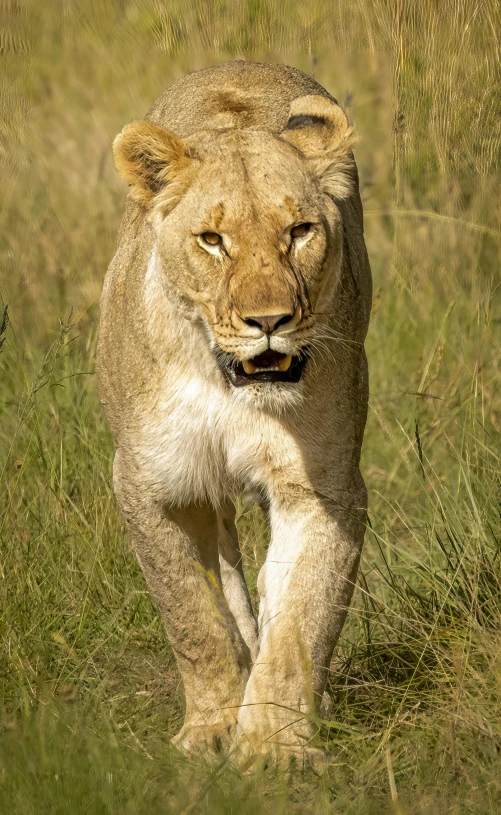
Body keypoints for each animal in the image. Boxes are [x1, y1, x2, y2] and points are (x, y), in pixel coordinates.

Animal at [98, 60, 372, 768]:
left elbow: (302, 619)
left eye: (300, 232)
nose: (269, 321)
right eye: (212, 241)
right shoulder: (151, 484)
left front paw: (274, 743)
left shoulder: (322, 488)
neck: (232, 391)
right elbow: (193, 618)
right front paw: (213, 728)